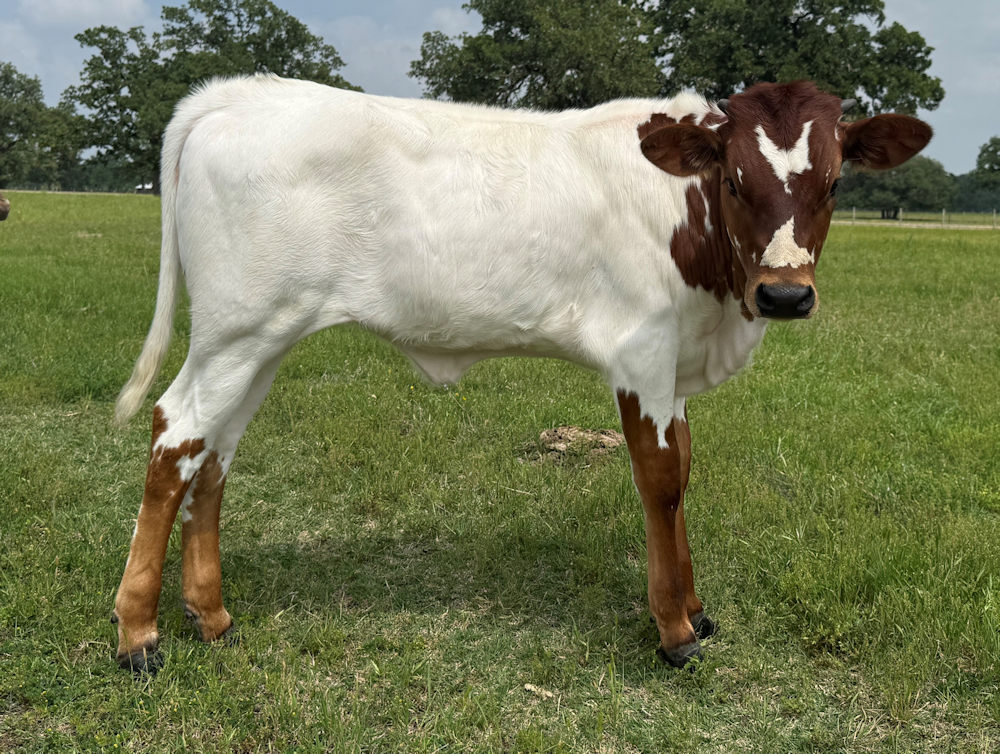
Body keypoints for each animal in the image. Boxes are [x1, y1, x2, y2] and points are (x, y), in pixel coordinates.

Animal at [110, 75, 931, 672]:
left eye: (834, 184)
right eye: (733, 178)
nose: (785, 294)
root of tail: (238, 93)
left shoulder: (674, 368)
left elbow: (685, 469)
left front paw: (697, 611)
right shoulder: (642, 354)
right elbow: (661, 480)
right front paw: (674, 629)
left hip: (262, 339)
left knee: (214, 454)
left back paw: (212, 616)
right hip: (237, 333)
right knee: (176, 435)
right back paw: (137, 634)